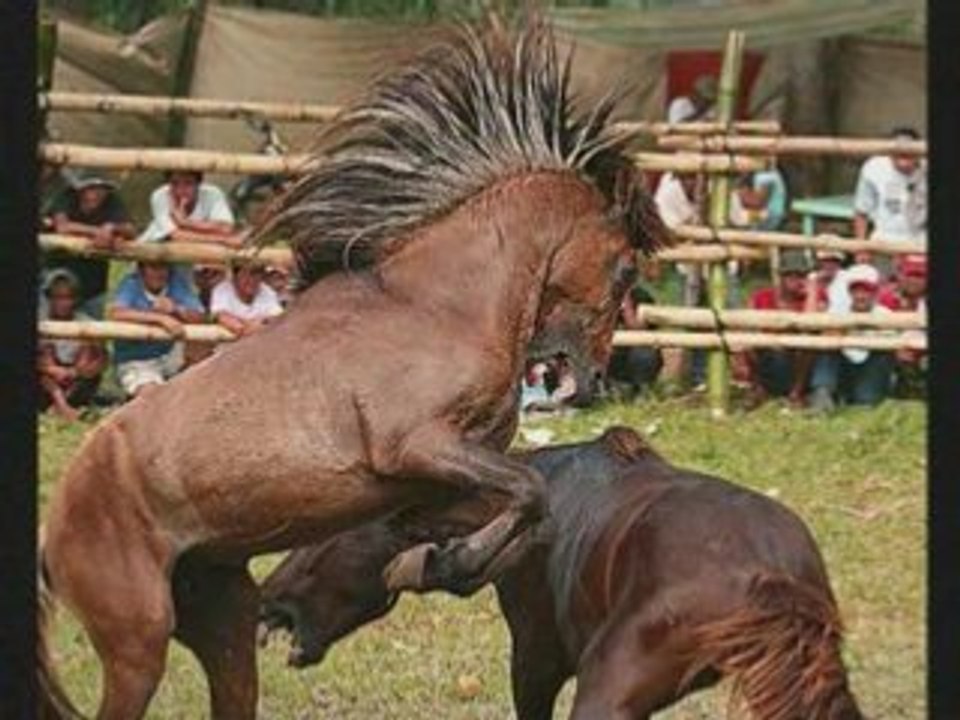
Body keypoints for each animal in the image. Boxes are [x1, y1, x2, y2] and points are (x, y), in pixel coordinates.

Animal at [37, 18, 668, 720]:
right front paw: (438, 564)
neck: (442, 305)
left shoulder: (435, 485)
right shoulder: (416, 447)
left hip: (221, 617)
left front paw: (435, 563)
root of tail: (51, 531)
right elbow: (530, 492)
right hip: (137, 643)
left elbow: (535, 514)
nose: (588, 381)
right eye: (627, 270)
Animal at [261, 427, 866, 720]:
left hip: (609, 688)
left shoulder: (536, 656)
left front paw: (431, 563)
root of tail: (770, 578)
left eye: (323, 536)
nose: (268, 598)